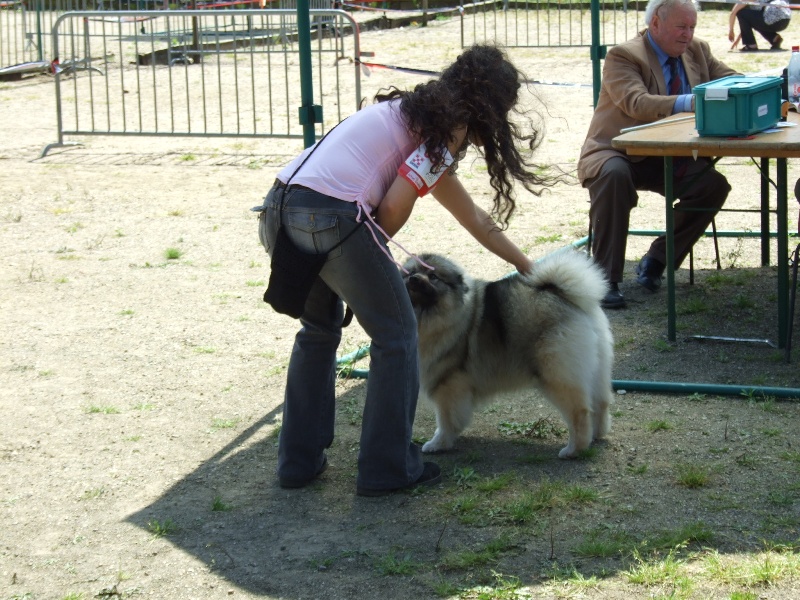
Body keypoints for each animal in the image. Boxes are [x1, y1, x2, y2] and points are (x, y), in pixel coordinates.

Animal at [404, 248, 616, 460]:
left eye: (433, 276)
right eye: (409, 273)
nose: (413, 279)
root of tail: (566, 297)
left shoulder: (448, 386)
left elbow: (446, 420)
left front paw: (438, 443)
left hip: (557, 375)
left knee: (579, 411)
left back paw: (574, 449)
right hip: (595, 368)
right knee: (601, 403)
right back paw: (596, 435)